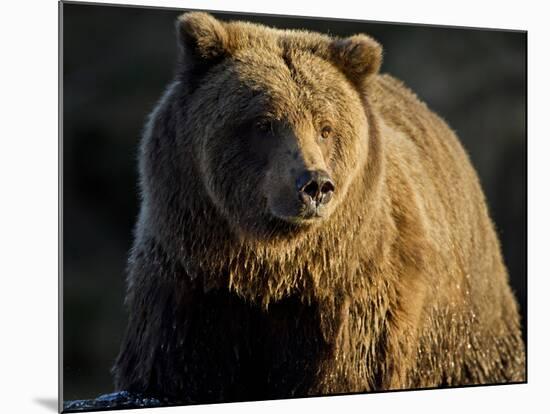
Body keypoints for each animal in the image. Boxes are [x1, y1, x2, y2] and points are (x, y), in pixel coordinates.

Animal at [111, 11, 528, 402]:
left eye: (325, 127)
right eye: (263, 123)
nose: (315, 185)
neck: (271, 266)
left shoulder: (352, 296)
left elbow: (344, 370)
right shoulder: (191, 278)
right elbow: (176, 362)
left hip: (464, 326)